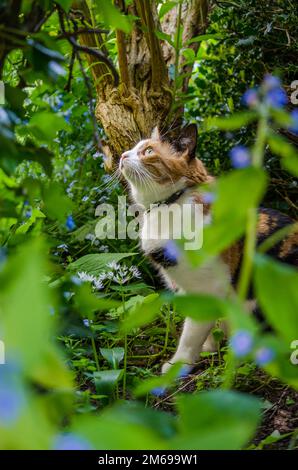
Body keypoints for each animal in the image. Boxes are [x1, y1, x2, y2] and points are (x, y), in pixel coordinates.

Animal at [119, 125, 298, 374]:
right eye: (134, 148)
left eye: (148, 151)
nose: (122, 155)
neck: (170, 204)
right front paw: (209, 348)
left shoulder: (209, 286)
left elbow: (191, 332)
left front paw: (179, 364)